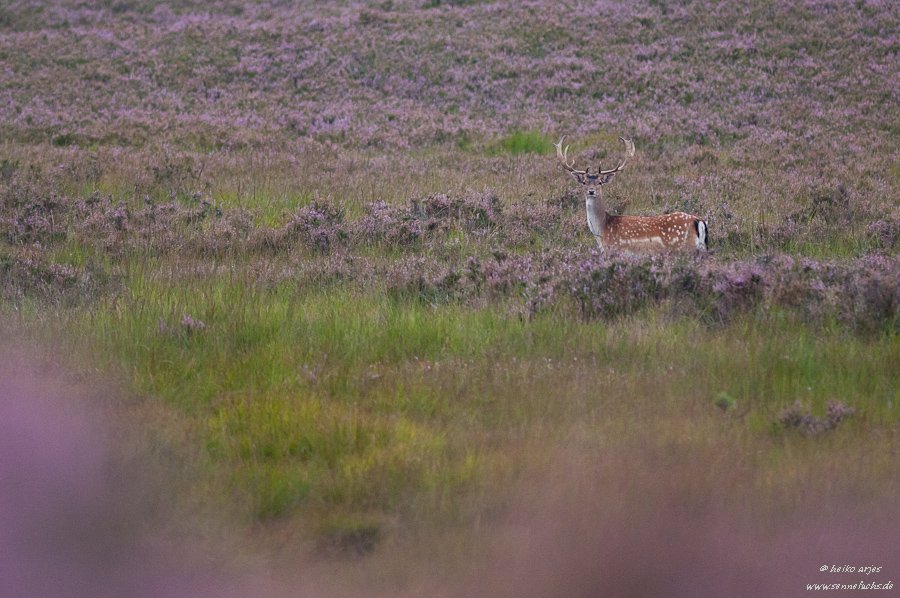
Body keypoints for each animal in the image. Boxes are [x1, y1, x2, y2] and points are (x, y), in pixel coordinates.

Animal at [556, 136, 712, 253]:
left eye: (600, 182)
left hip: (685, 248)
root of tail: (699, 221)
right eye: (584, 182)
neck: (603, 230)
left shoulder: (615, 250)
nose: (591, 191)